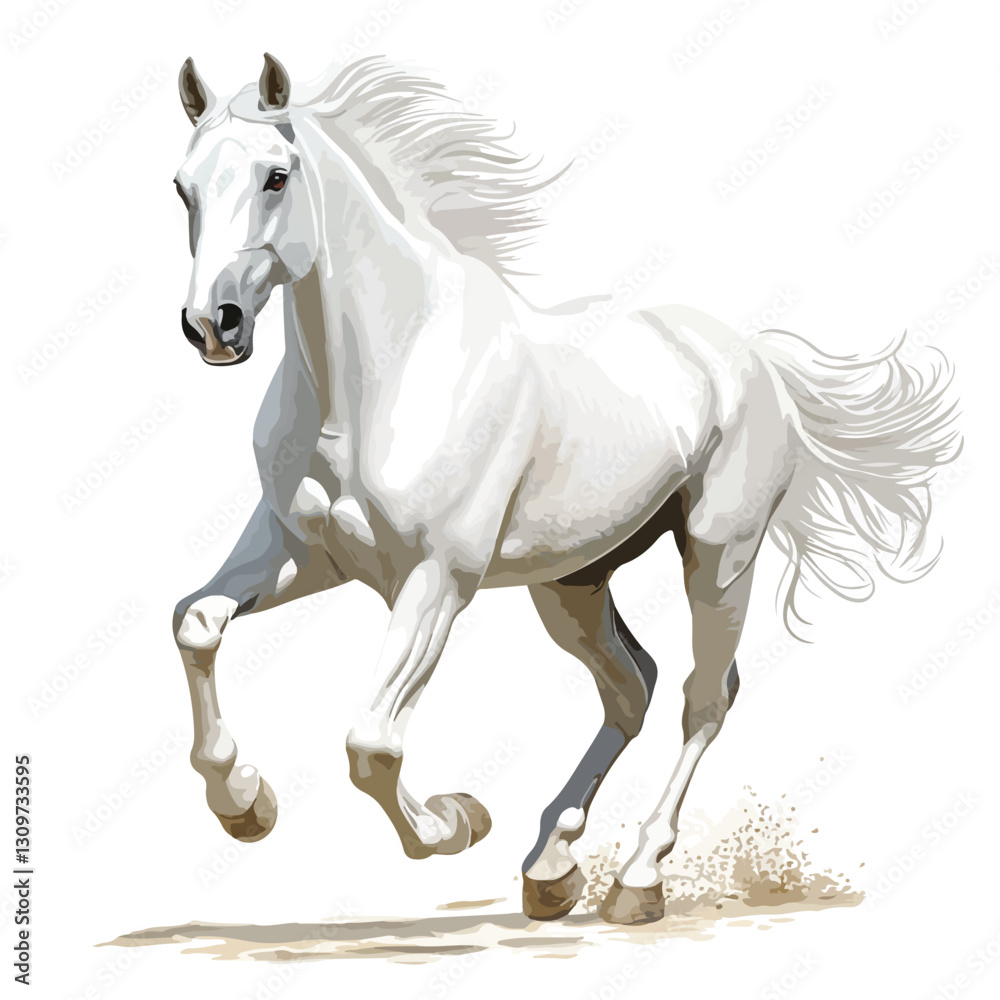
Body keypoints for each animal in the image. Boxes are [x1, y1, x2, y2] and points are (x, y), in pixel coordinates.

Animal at [170, 53, 961, 925]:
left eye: (277, 176)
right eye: (182, 187)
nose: (213, 325)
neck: (382, 375)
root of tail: (753, 358)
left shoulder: (437, 580)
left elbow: (371, 744)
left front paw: (457, 820)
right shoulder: (302, 551)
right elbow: (196, 623)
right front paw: (245, 805)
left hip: (720, 555)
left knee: (704, 696)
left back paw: (636, 881)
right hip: (571, 582)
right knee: (632, 687)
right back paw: (552, 868)